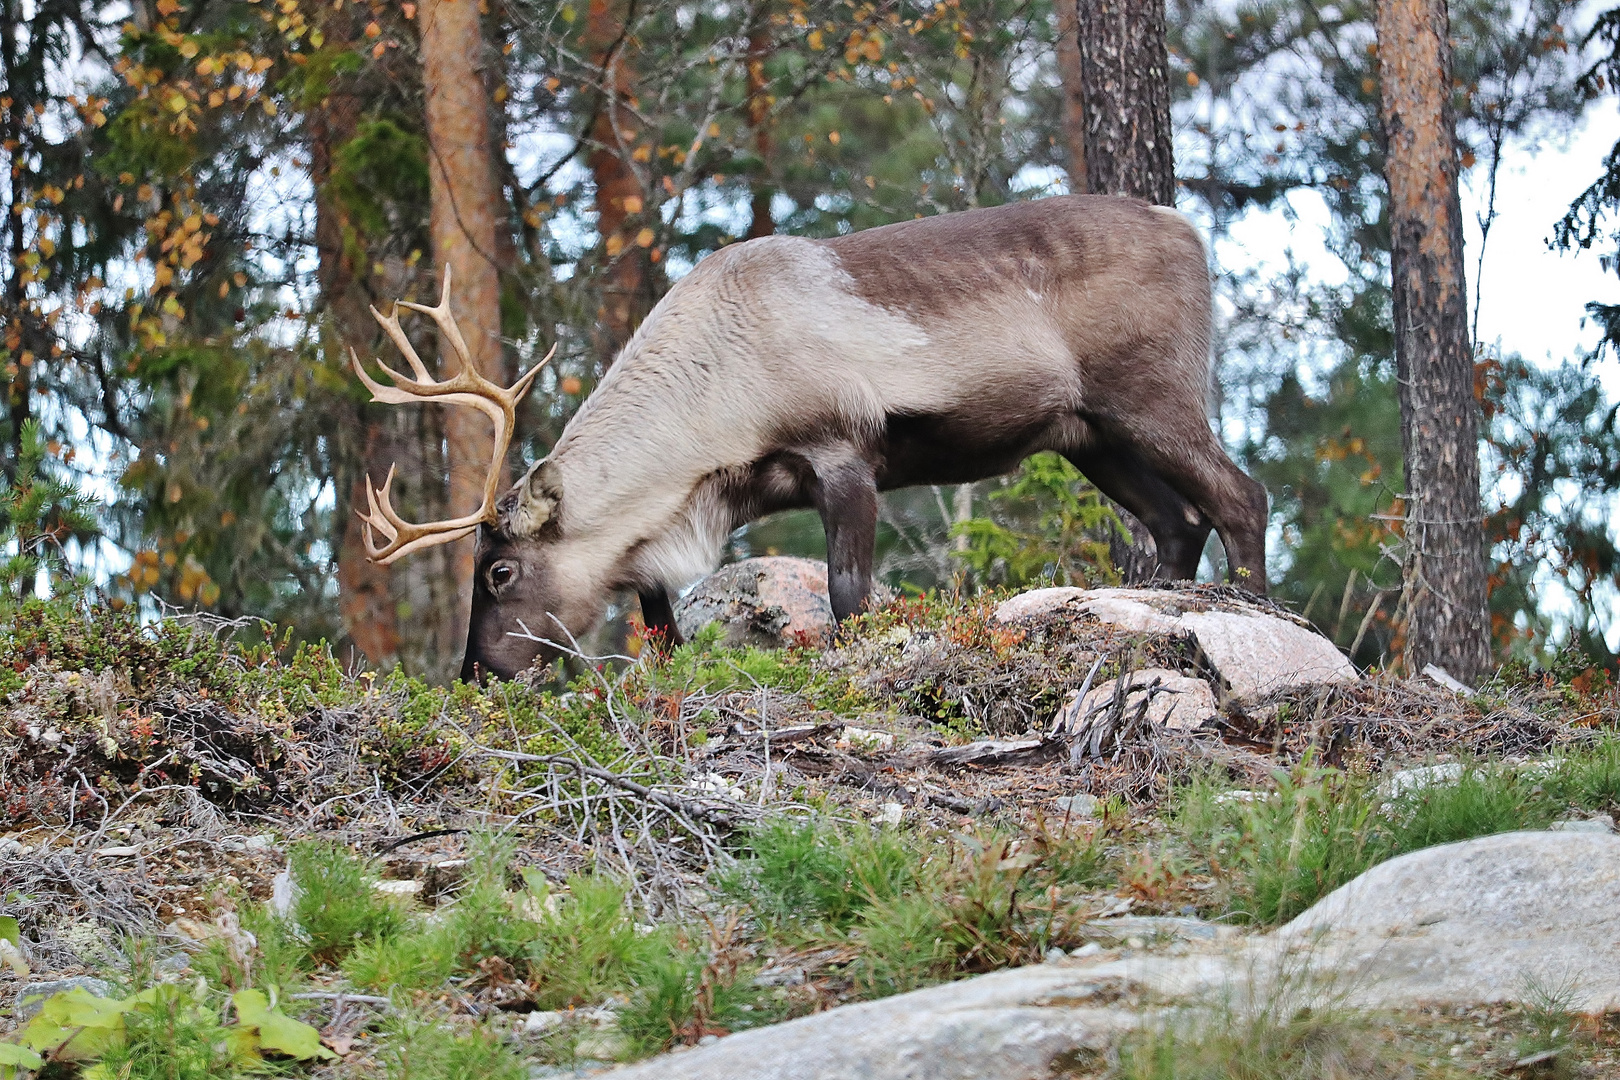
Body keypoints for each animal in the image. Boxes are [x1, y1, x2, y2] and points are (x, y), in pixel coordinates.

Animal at [351, 194, 1263, 680]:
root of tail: (1190, 229)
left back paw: (1256, 609)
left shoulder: (843, 452)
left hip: (1151, 394)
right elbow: (660, 626)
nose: (474, 673)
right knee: (1180, 518)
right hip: (1087, 433)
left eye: (499, 570)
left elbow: (850, 596)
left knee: (1241, 495)